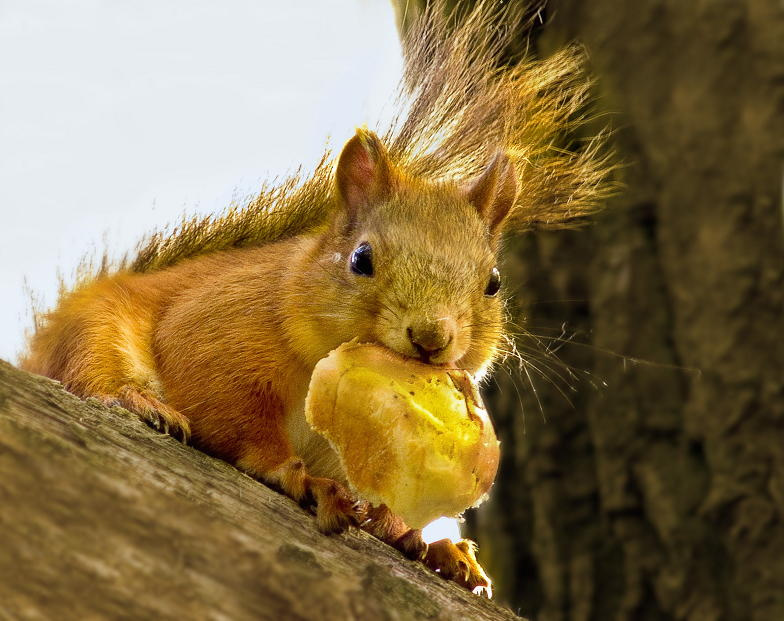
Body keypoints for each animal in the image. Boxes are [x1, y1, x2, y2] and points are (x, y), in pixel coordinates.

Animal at [21, 0, 613, 596]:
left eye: (493, 282)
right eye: (361, 259)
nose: (431, 337)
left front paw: (426, 541)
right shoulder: (221, 328)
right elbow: (230, 410)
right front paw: (296, 475)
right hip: (95, 333)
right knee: (88, 374)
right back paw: (138, 402)